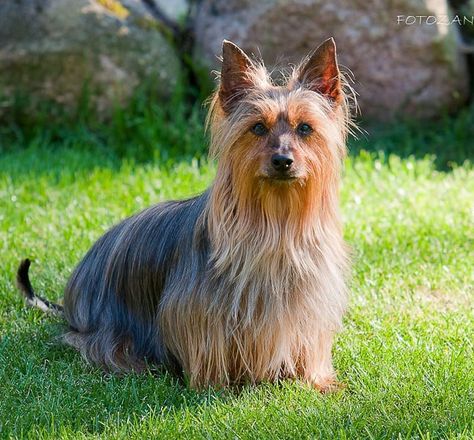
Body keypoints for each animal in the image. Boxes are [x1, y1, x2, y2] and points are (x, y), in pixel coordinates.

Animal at [16, 37, 354, 388]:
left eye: (305, 128)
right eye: (258, 127)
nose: (282, 160)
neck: (275, 218)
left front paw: (318, 380)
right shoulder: (198, 311)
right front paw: (213, 385)